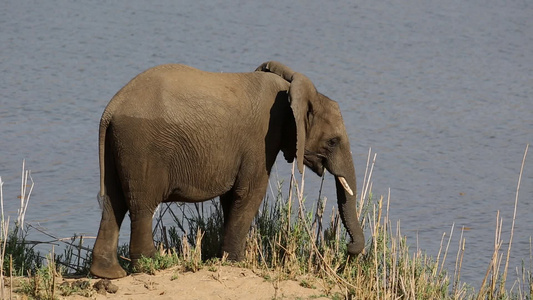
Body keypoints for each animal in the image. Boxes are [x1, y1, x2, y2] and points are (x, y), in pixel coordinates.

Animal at [90, 61, 366, 278]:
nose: (348, 250)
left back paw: (109, 274)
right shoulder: (261, 139)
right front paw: (236, 262)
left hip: (120, 144)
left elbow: (232, 196)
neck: (290, 88)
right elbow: (250, 193)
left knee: (113, 203)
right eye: (333, 141)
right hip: (141, 146)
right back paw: (152, 265)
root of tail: (110, 109)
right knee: (142, 206)